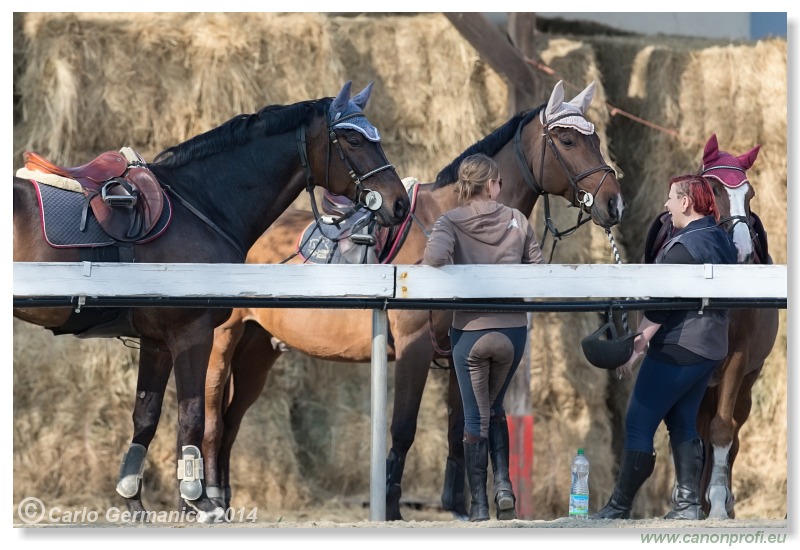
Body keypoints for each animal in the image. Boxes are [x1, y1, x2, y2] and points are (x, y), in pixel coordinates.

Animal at [13, 81, 410, 520]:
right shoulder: (193, 333)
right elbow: (193, 417)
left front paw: (134, 499)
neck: (201, 204)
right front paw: (199, 499)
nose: (399, 203)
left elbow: (146, 417)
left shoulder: (157, 342)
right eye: (354, 139)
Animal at [200, 81, 624, 520]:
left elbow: (460, 426)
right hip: (222, 341)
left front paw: (458, 506)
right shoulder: (413, 346)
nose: (614, 202)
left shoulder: (460, 348)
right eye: (568, 140)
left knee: (231, 422)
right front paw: (391, 505)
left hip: (258, 350)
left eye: (595, 139)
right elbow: (403, 428)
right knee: (213, 417)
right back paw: (208, 498)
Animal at [644, 135, 780, 520]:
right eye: (714, 188)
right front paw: (686, 498)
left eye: (750, 194)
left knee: (731, 432)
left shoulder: (737, 359)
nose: (745, 251)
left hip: (746, 383)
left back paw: (718, 501)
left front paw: (718, 502)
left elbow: (723, 430)